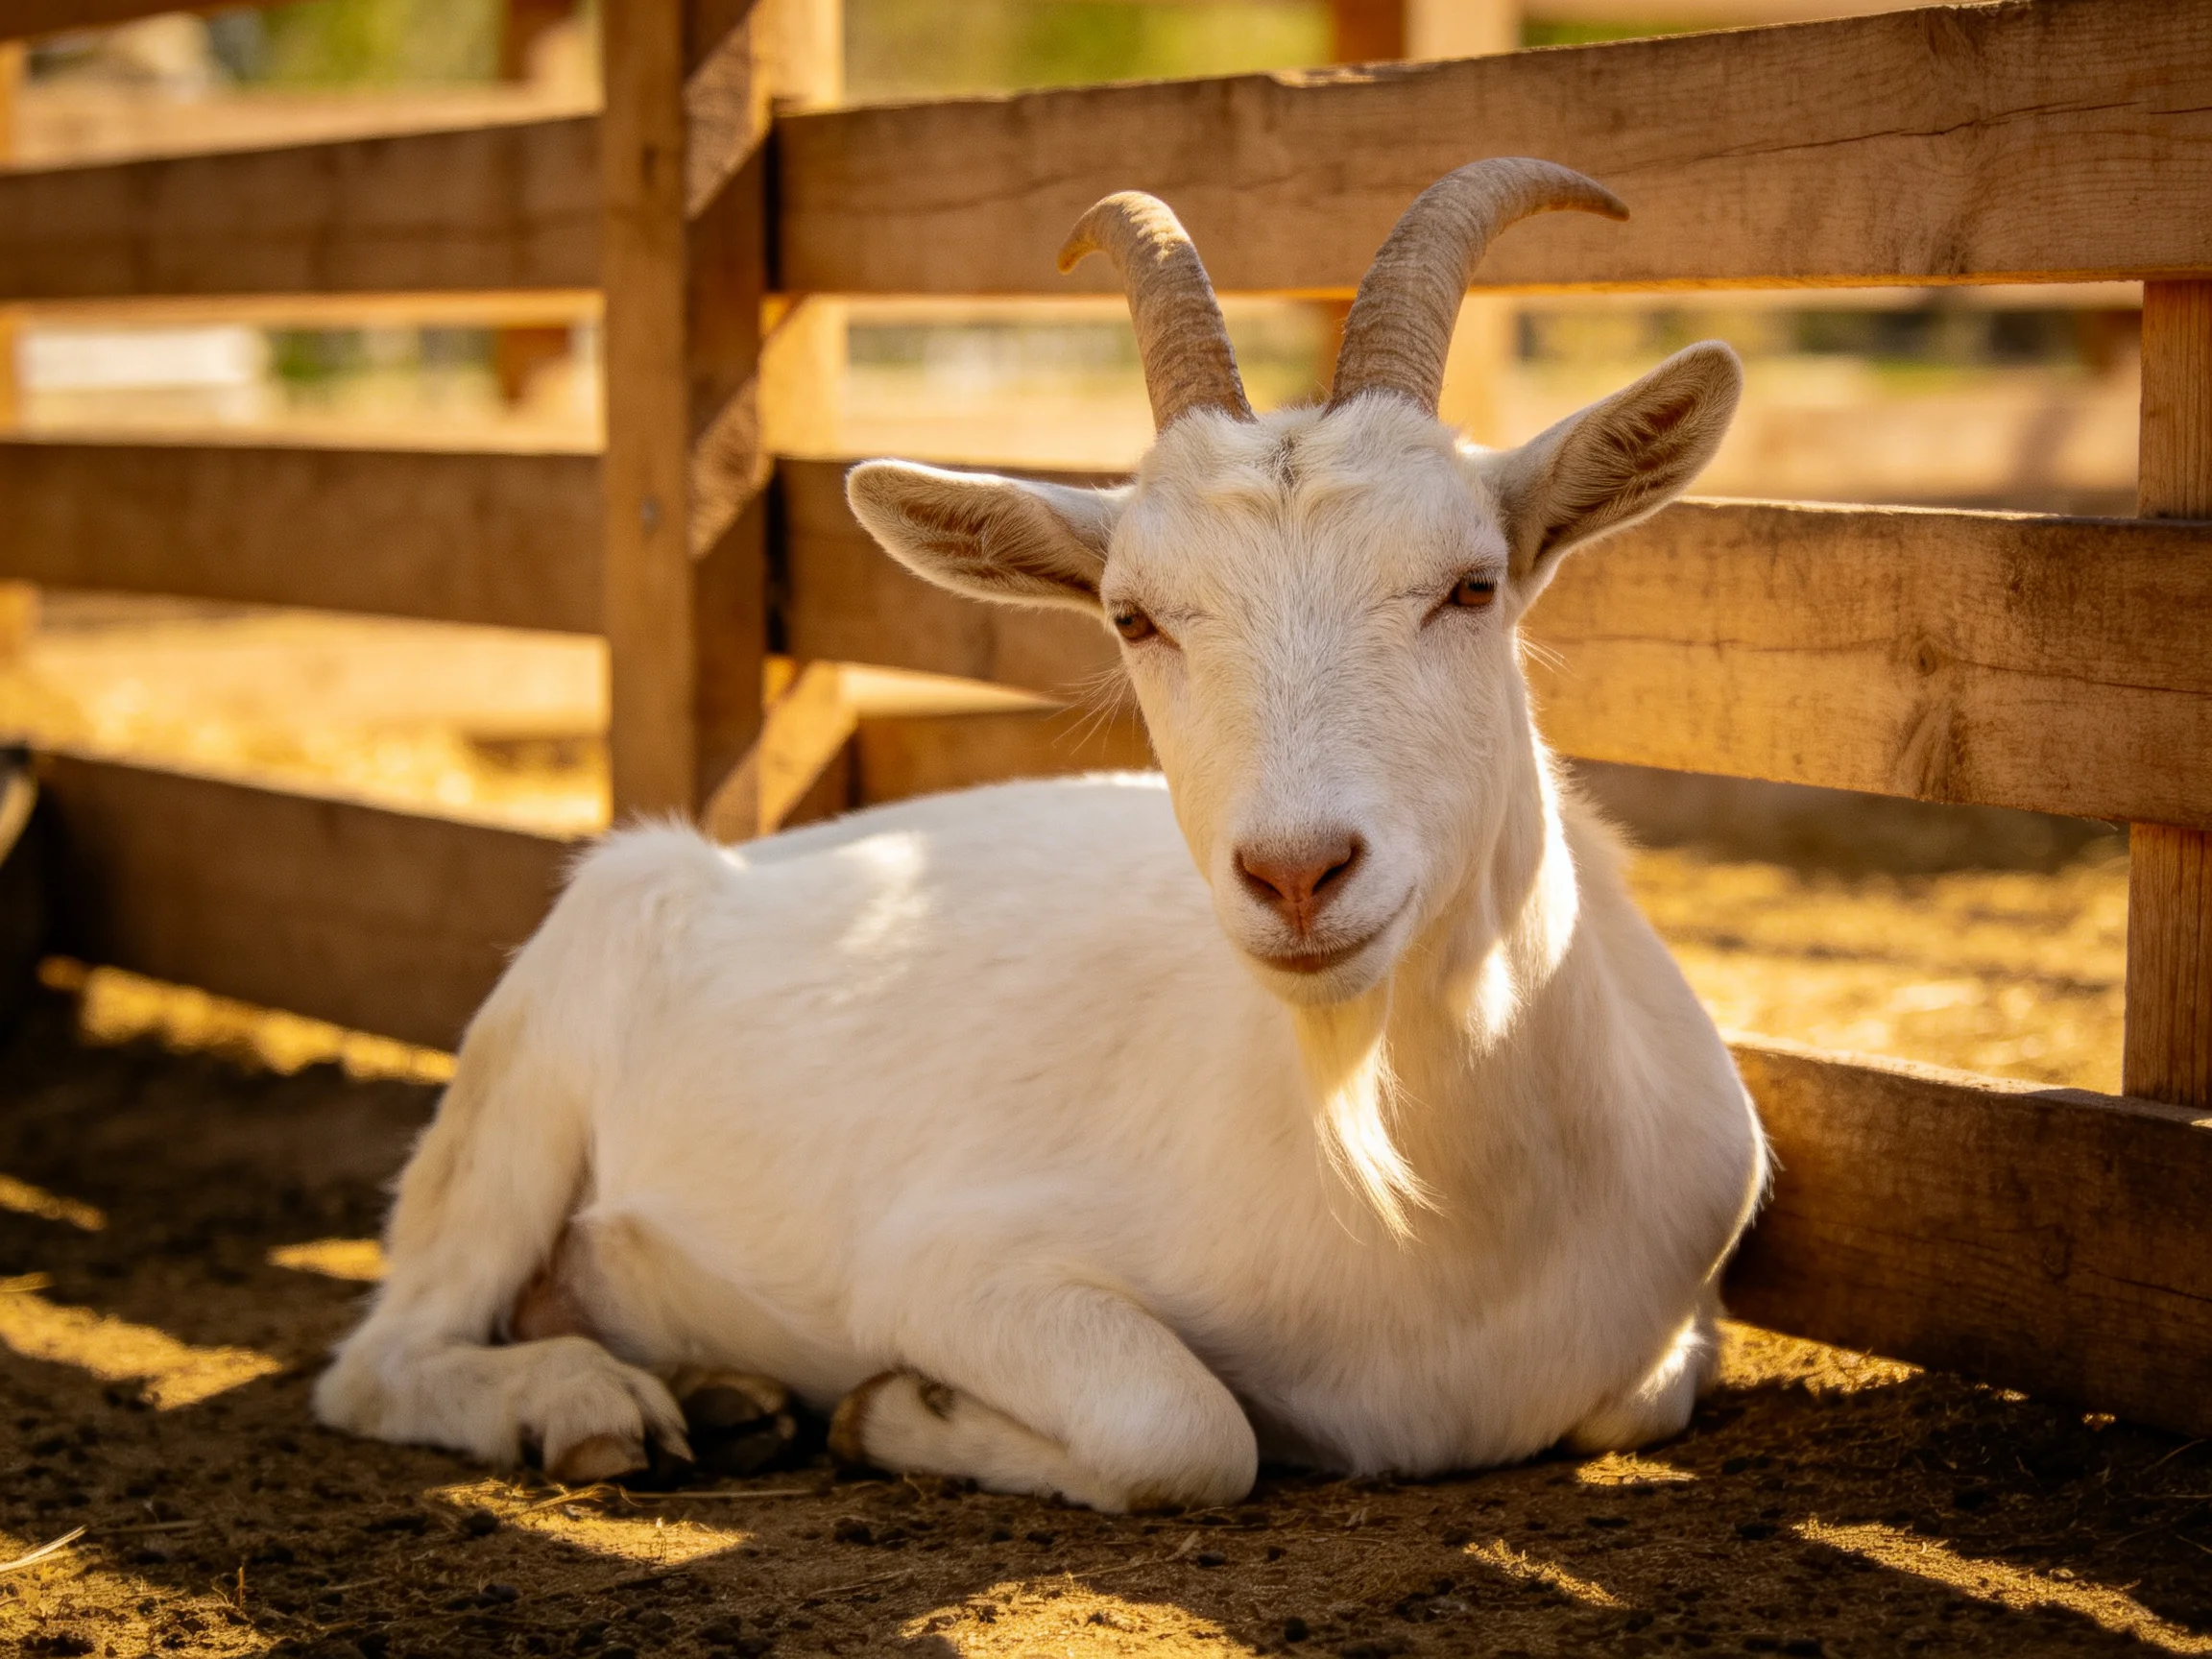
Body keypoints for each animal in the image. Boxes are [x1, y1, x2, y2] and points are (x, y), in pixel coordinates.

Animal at [315, 159, 1767, 1511]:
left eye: (1473, 584)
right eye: (1134, 616)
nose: (1296, 874)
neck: (1430, 1210)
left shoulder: (1671, 1315)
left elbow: (1641, 1398)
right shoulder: (948, 1262)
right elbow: (1186, 1432)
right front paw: (898, 1411)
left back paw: (724, 1399)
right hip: (530, 1069)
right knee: (382, 1357)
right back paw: (590, 1406)